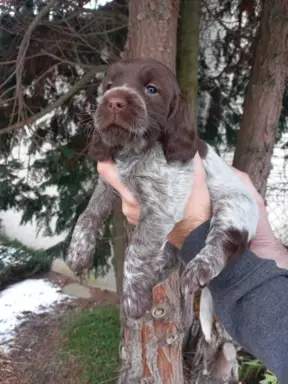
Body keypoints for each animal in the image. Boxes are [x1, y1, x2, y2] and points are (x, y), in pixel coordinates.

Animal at [66, 57, 258, 318]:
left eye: (151, 90)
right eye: (109, 86)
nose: (113, 101)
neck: (133, 153)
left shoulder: (160, 206)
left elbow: (136, 251)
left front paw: (133, 299)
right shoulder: (108, 183)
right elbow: (88, 214)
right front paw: (78, 253)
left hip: (235, 204)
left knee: (223, 242)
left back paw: (198, 269)